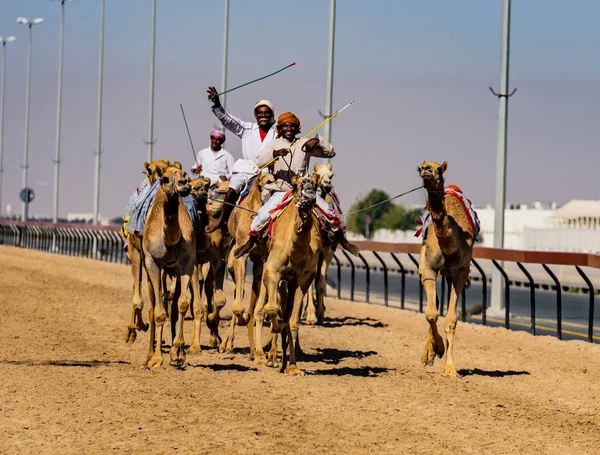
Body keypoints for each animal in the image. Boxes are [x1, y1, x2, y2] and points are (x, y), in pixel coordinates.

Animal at [141, 166, 197, 368]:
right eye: (165, 179)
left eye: (185, 174)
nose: (183, 184)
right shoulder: (152, 262)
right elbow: (158, 312)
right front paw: (157, 359)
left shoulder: (187, 261)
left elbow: (182, 303)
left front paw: (178, 352)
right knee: (153, 306)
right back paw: (149, 356)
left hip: (174, 270)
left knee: (171, 304)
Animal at [219, 173, 276, 354]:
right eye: (267, 182)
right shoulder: (240, 256)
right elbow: (238, 304)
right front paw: (243, 318)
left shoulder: (264, 259)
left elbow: (259, 307)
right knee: (239, 290)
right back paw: (227, 343)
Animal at [250, 175, 324, 374]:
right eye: (297, 185)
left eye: (315, 184)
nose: (308, 188)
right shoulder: (272, 271)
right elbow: (271, 309)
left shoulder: (304, 279)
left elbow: (293, 321)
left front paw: (293, 367)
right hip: (263, 269)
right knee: (260, 310)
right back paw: (260, 356)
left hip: (289, 282)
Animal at [418, 160, 474, 378]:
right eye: (420, 168)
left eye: (439, 170)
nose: (426, 169)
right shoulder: (428, 269)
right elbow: (431, 314)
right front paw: (437, 348)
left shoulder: (461, 271)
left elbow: (451, 320)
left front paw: (450, 367)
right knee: (433, 306)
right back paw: (429, 352)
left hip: (450, 275)